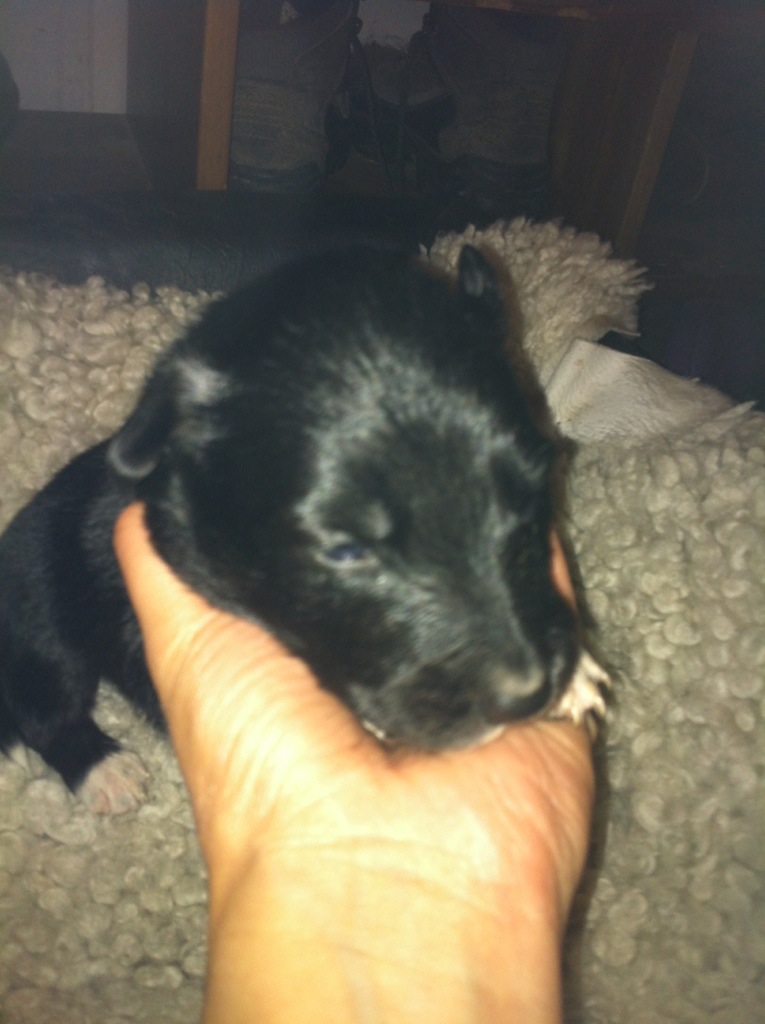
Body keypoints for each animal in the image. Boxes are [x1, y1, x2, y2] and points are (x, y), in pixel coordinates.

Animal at [0, 245, 607, 812]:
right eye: (345, 551)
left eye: (534, 489)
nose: (526, 695)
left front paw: (575, 675)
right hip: (41, 603)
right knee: (43, 706)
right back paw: (106, 771)